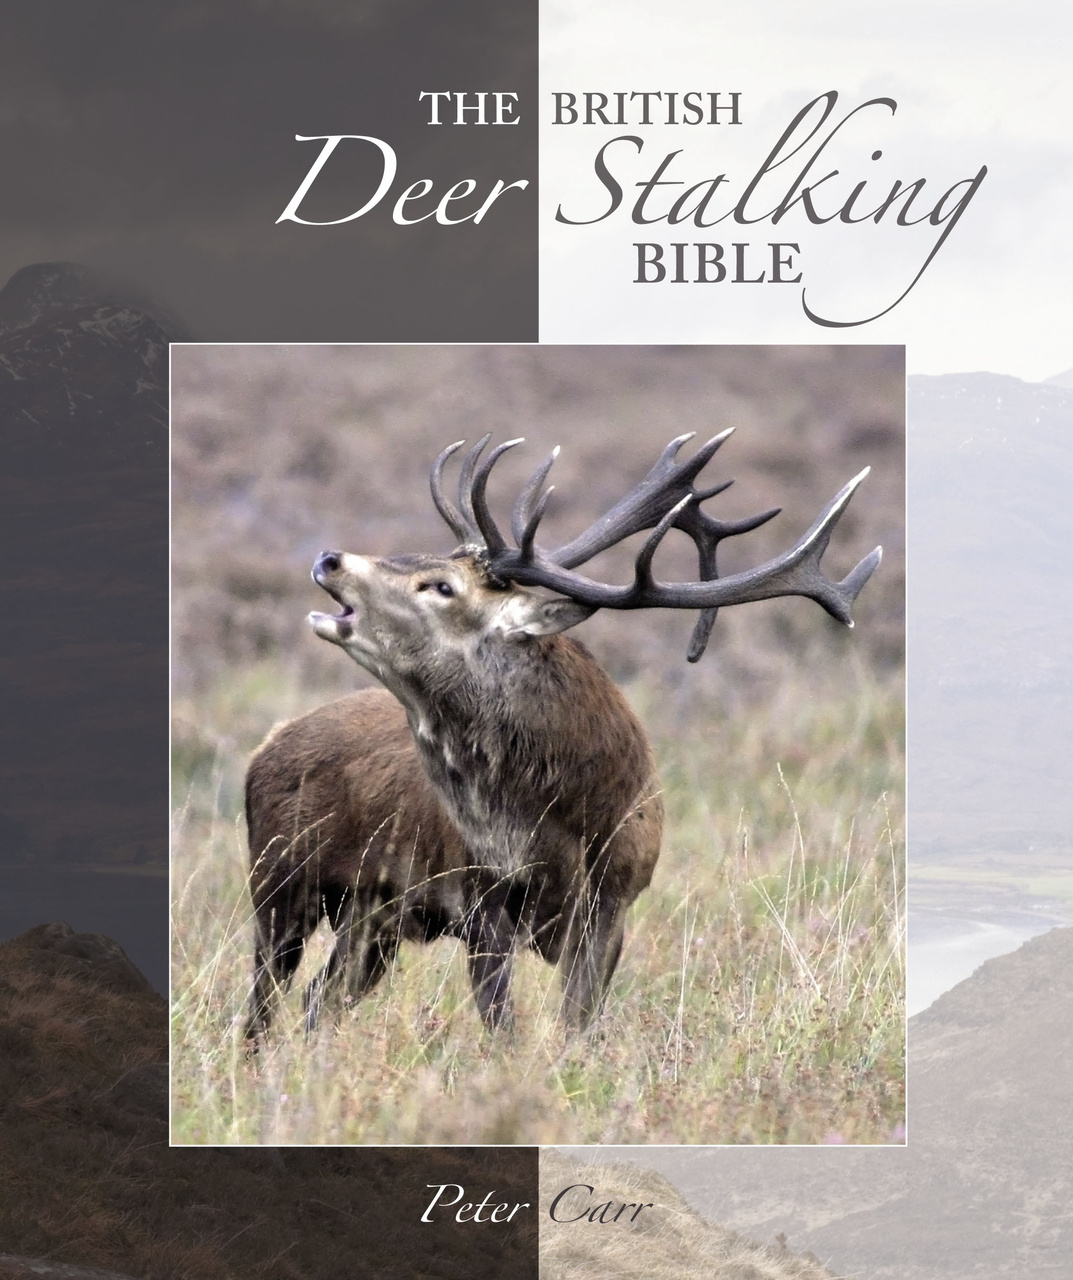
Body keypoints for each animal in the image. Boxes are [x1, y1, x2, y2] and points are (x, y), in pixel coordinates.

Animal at [243, 431, 881, 1044]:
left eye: (441, 585)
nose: (329, 558)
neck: (564, 826)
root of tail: (266, 746)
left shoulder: (614, 905)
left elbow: (577, 1025)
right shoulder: (478, 901)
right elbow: (505, 1029)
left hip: (370, 916)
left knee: (316, 1000)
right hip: (279, 880)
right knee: (262, 1007)